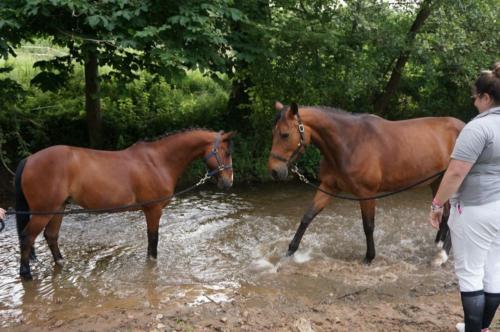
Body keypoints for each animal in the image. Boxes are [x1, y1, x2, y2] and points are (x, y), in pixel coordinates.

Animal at [14, 130, 234, 280]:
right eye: (225, 152)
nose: (229, 182)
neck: (158, 161)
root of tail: (29, 159)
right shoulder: (153, 210)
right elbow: (153, 240)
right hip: (43, 212)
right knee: (27, 237)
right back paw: (26, 274)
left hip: (58, 208)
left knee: (51, 236)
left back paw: (61, 263)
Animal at [270, 102, 464, 266]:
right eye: (274, 133)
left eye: (285, 134)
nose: (274, 171)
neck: (349, 143)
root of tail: (463, 125)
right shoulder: (328, 187)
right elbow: (307, 216)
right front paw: (290, 252)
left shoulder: (367, 194)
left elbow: (368, 226)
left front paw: (369, 257)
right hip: (437, 182)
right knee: (444, 214)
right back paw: (439, 244)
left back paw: (442, 255)